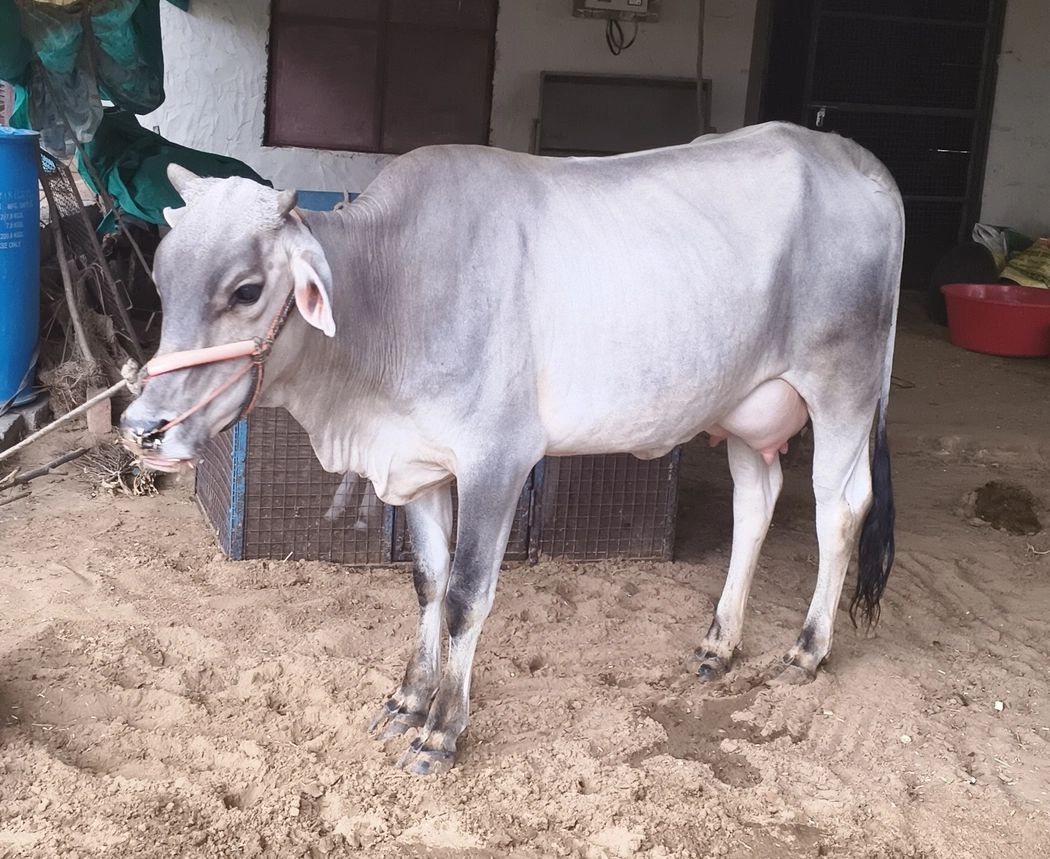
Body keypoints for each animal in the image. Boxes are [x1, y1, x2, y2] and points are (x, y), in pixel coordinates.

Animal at [121, 121, 902, 775]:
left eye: (247, 289)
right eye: (160, 278)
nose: (141, 427)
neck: (393, 290)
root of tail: (853, 158)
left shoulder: (497, 459)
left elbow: (467, 596)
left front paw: (441, 730)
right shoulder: (418, 463)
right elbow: (428, 582)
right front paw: (409, 698)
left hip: (843, 386)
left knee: (839, 506)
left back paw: (807, 648)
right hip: (746, 407)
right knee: (756, 502)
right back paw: (719, 643)